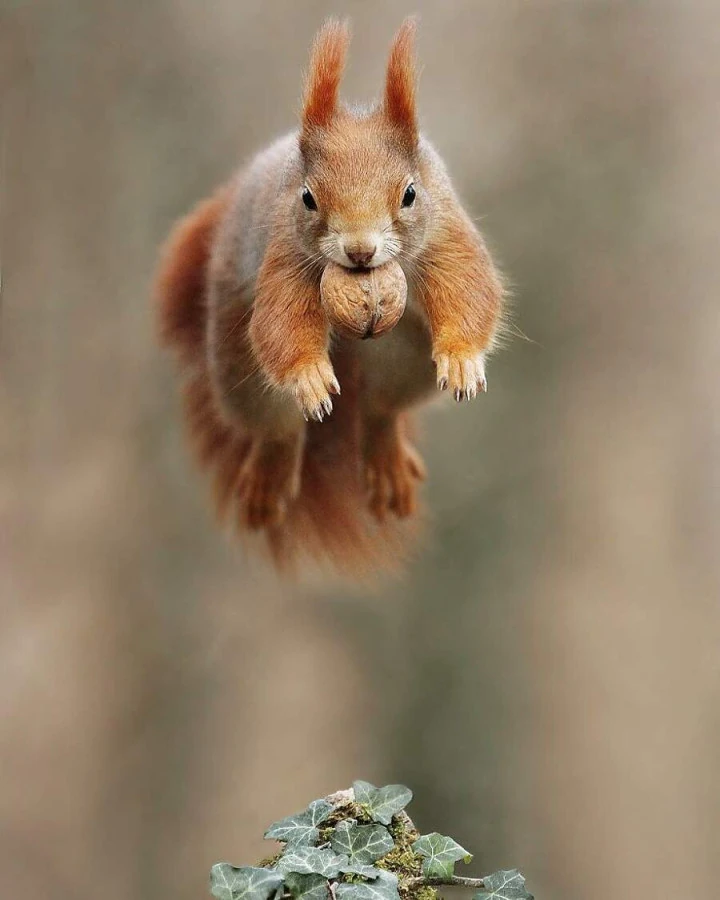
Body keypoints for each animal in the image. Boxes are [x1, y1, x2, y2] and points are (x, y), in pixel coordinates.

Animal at [155, 18, 505, 578]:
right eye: (307, 198)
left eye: (410, 193)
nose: (360, 251)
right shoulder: (286, 254)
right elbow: (282, 323)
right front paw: (308, 375)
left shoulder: (446, 234)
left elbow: (469, 288)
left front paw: (463, 358)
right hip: (236, 364)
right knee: (274, 427)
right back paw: (270, 473)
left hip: (406, 359)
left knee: (381, 409)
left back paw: (383, 455)